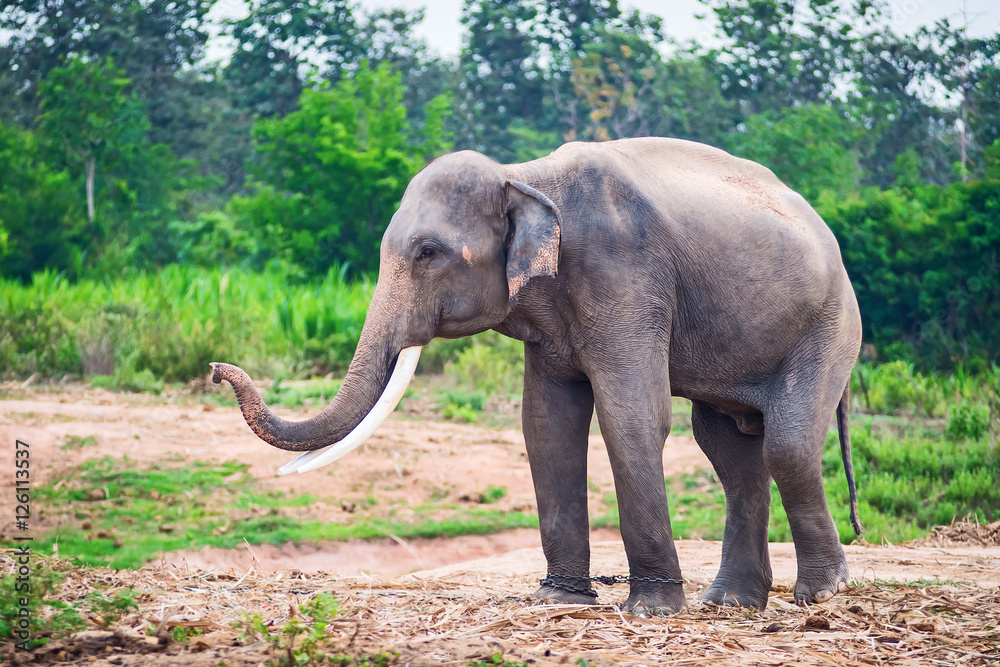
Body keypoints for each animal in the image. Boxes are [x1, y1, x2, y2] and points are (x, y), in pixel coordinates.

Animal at [211, 137, 863, 615]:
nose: (218, 369)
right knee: (728, 449)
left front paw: (650, 610)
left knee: (786, 444)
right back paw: (731, 603)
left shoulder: (626, 277)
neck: (523, 176)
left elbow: (632, 417)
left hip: (830, 328)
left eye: (427, 253)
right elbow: (547, 424)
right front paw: (556, 601)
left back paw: (820, 594)